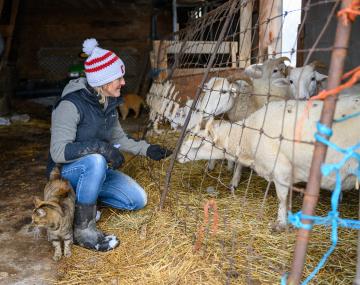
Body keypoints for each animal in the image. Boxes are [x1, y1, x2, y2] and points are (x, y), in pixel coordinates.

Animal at [178, 94, 360, 230]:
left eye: (193, 145)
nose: (178, 156)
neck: (248, 137)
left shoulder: (280, 170)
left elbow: (282, 198)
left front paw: (281, 223)